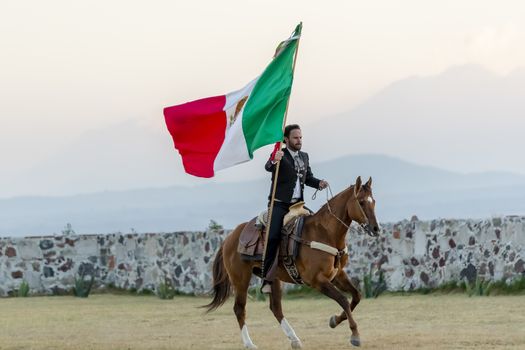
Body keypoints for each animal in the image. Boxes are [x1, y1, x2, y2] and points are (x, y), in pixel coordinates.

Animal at [203, 176, 378, 348]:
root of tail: (229, 238)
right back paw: (249, 344)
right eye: (361, 201)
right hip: (240, 280)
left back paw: (294, 339)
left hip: (272, 278)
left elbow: (356, 296)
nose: (376, 229)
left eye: (373, 201)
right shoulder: (317, 280)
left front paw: (335, 320)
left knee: (276, 308)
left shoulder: (337, 275)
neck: (325, 233)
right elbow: (343, 300)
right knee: (239, 308)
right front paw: (354, 334)